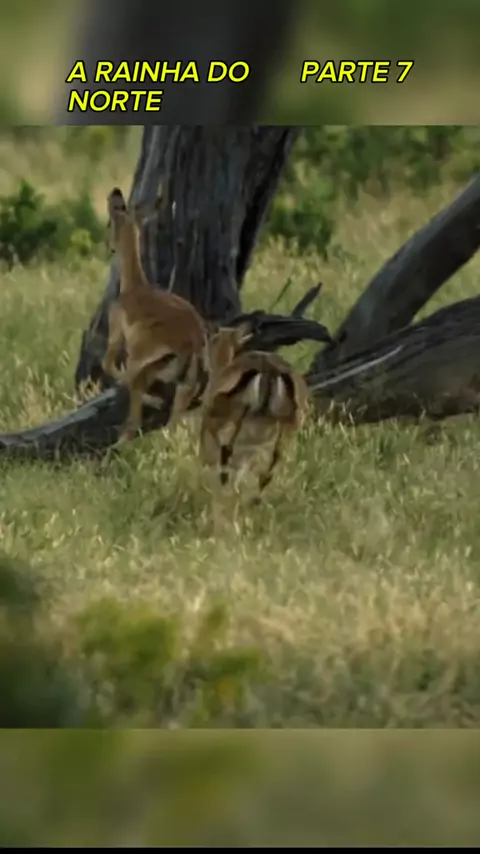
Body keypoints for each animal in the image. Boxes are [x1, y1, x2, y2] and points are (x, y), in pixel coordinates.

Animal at [102, 187, 208, 443]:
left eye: (110, 222)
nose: (109, 246)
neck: (134, 287)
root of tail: (194, 341)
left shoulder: (117, 338)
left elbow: (109, 367)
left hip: (141, 364)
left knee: (135, 413)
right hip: (183, 387)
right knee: (172, 423)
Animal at [199, 324, 310, 499]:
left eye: (211, 340)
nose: (203, 360)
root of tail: (270, 368)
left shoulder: (209, 423)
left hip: (237, 414)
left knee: (227, 451)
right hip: (288, 426)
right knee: (272, 464)